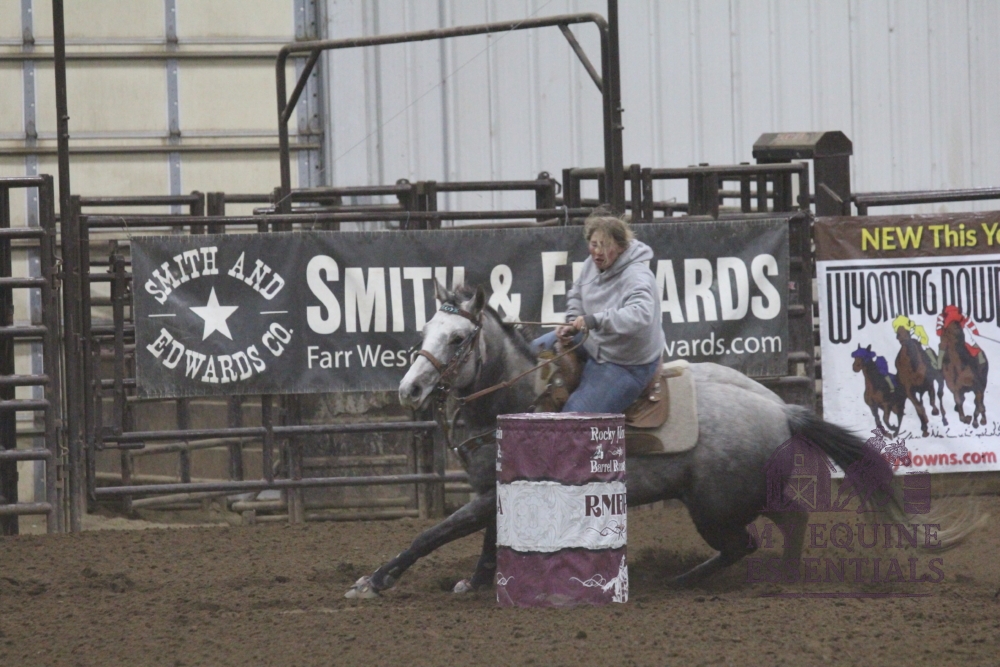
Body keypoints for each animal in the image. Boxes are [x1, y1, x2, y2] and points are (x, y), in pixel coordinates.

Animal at [345, 285, 968, 599]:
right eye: (427, 329)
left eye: (457, 339)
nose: (409, 388)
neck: (512, 399)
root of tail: (782, 409)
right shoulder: (495, 491)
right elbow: (485, 540)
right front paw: (474, 582)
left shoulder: (491, 493)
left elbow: (432, 533)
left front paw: (374, 581)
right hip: (737, 497)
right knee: (786, 523)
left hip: (716, 504)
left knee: (754, 538)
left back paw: (700, 580)